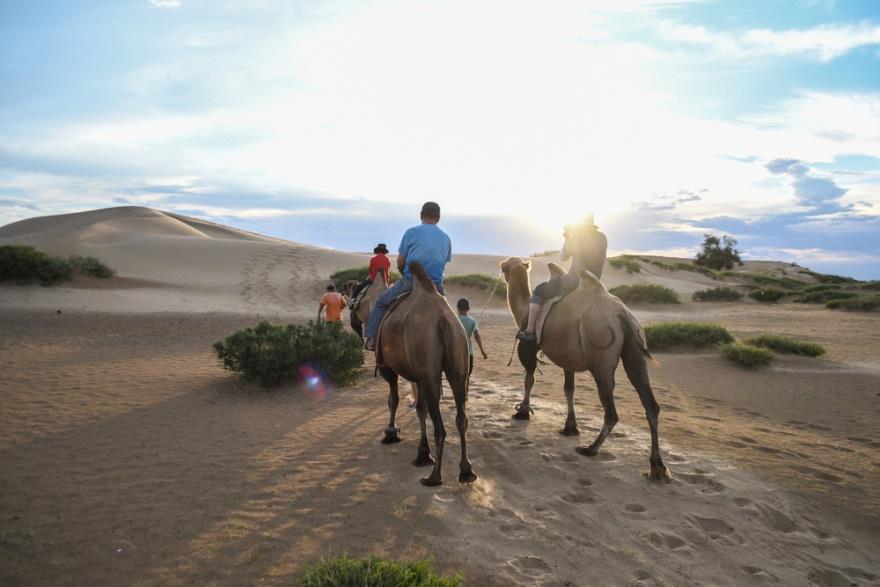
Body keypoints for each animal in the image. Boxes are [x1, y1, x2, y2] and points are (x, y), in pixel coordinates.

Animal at [374, 262, 478, 486]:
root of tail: (444, 320)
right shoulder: (418, 376)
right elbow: (420, 408)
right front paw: (422, 453)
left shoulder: (388, 368)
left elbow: (393, 399)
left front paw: (390, 433)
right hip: (458, 358)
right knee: (461, 417)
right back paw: (466, 471)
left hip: (428, 367)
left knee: (440, 426)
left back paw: (434, 477)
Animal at [502, 258, 668, 482]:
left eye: (507, 265)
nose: (501, 266)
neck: (523, 310)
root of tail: (622, 314)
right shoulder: (567, 357)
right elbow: (568, 389)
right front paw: (570, 427)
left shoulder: (527, 347)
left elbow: (529, 379)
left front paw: (522, 412)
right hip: (635, 347)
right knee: (649, 403)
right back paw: (657, 466)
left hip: (600, 350)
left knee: (611, 410)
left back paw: (590, 449)